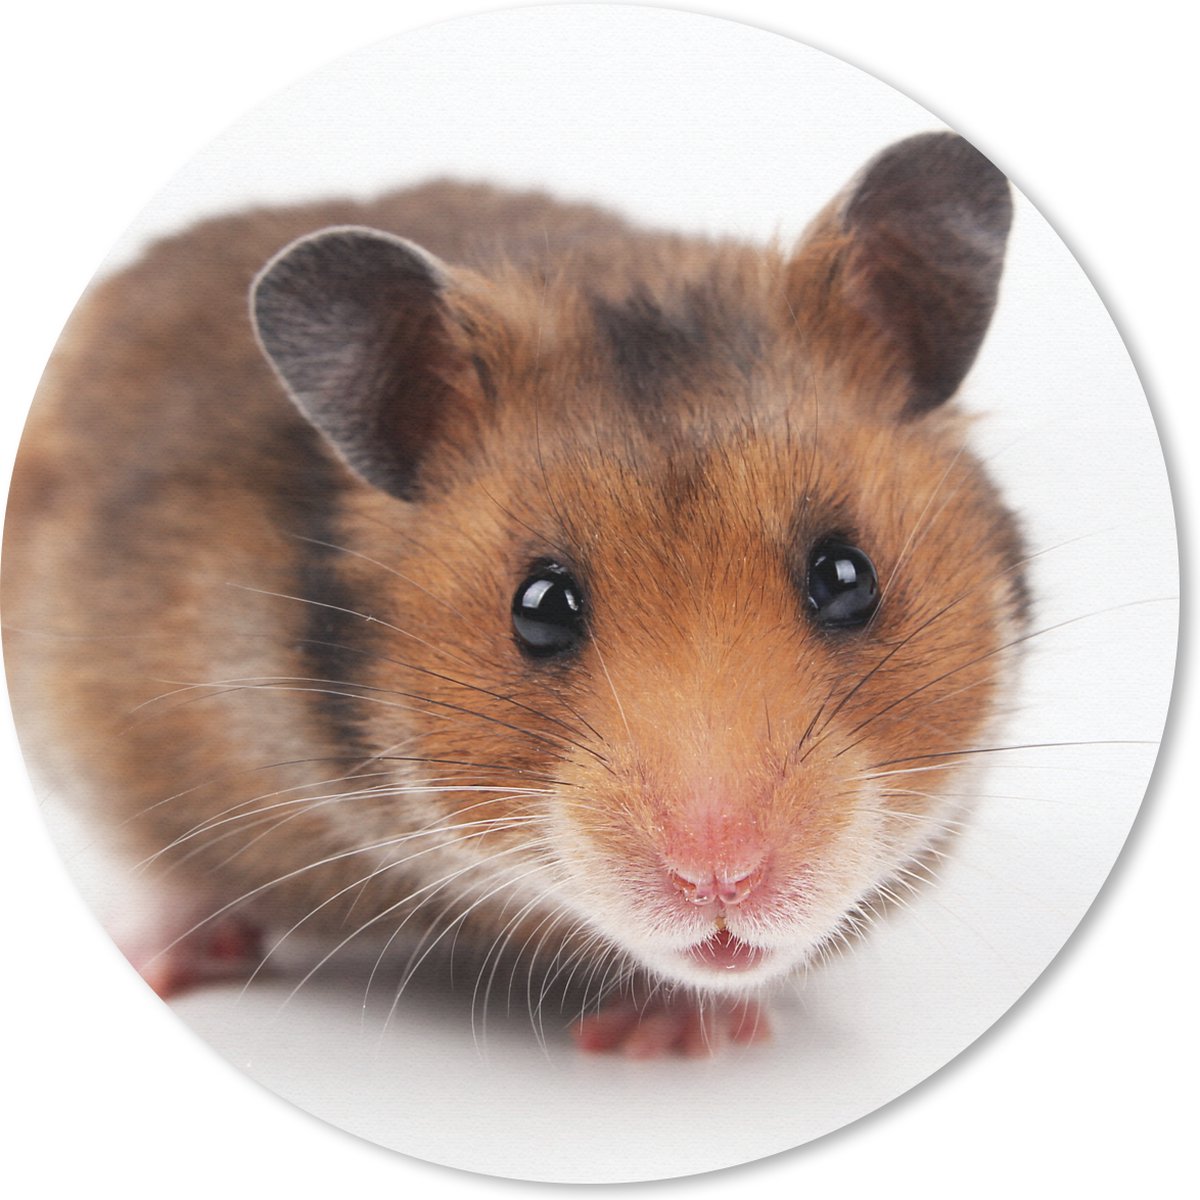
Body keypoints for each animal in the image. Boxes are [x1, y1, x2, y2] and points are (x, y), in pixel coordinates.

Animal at [2, 131, 1025, 1057]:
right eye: (538, 609)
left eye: (847, 580)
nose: (722, 883)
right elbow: (155, 868)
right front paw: (160, 968)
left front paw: (661, 1041)